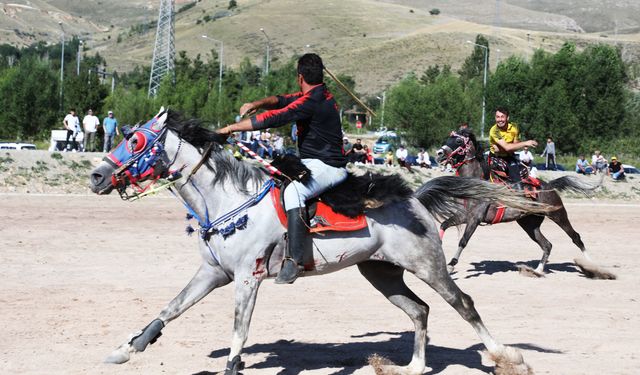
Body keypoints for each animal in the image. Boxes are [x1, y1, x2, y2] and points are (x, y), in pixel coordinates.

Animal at [89, 108, 552, 374]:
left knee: (463, 304)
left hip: (428, 264)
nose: (96, 176)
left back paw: (505, 355)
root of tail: (415, 200)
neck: (230, 199)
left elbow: (239, 330)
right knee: (419, 311)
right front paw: (127, 349)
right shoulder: (212, 273)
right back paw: (414, 367)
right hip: (381, 272)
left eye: (135, 140)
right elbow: (170, 309)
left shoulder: (247, 278)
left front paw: (232, 365)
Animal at [438, 129, 612, 280]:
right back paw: (538, 271)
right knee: (547, 245)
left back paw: (592, 266)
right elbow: (444, 225)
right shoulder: (464, 215)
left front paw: (450, 266)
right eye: (448, 138)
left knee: (575, 237)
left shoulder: (475, 218)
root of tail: (549, 186)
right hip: (529, 224)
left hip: (558, 214)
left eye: (458, 140)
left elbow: (463, 241)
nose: (439, 153)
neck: (477, 182)